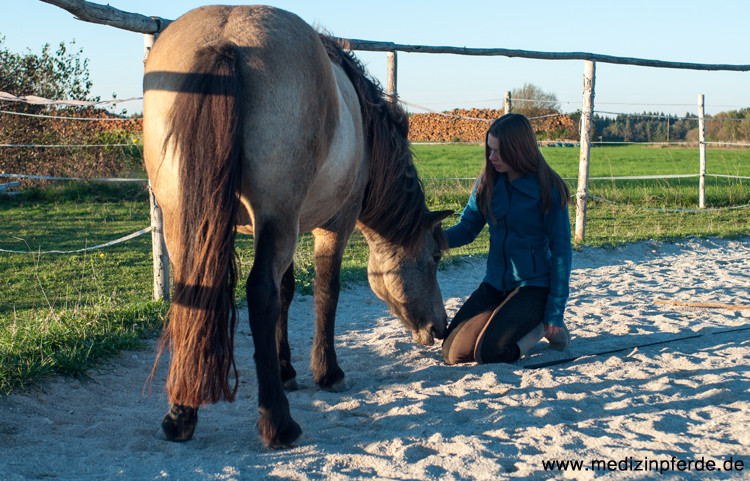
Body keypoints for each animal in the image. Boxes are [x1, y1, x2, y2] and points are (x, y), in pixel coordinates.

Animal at [145, 4, 456, 446]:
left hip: (186, 217)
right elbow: (326, 291)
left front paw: (286, 368)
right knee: (260, 293)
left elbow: (288, 292)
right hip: (276, 217)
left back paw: (181, 415)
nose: (441, 327)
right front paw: (328, 372)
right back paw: (278, 423)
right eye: (433, 258)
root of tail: (226, 40)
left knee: (194, 291)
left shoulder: (283, 227)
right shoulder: (332, 224)